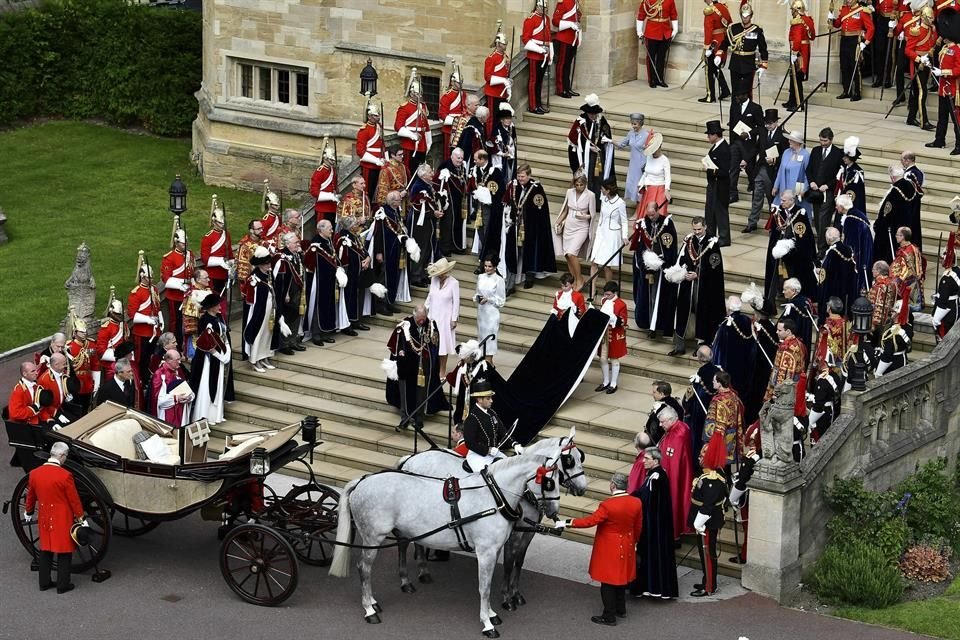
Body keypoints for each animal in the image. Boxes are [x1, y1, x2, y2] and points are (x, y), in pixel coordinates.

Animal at [332, 428, 568, 636]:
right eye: (550, 482)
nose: (553, 511)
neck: (494, 496)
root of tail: (363, 480)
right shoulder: (486, 552)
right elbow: (484, 587)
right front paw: (487, 623)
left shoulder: (496, 550)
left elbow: (490, 582)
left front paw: (492, 614)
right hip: (372, 537)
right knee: (364, 568)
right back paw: (369, 609)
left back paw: (377, 600)